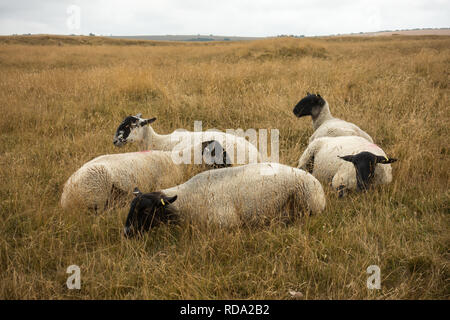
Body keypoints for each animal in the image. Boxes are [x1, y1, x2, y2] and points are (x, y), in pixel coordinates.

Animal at [123, 164, 326, 236]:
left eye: (146, 210)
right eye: (131, 207)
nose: (126, 232)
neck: (187, 198)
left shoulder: (225, 223)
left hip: (307, 205)